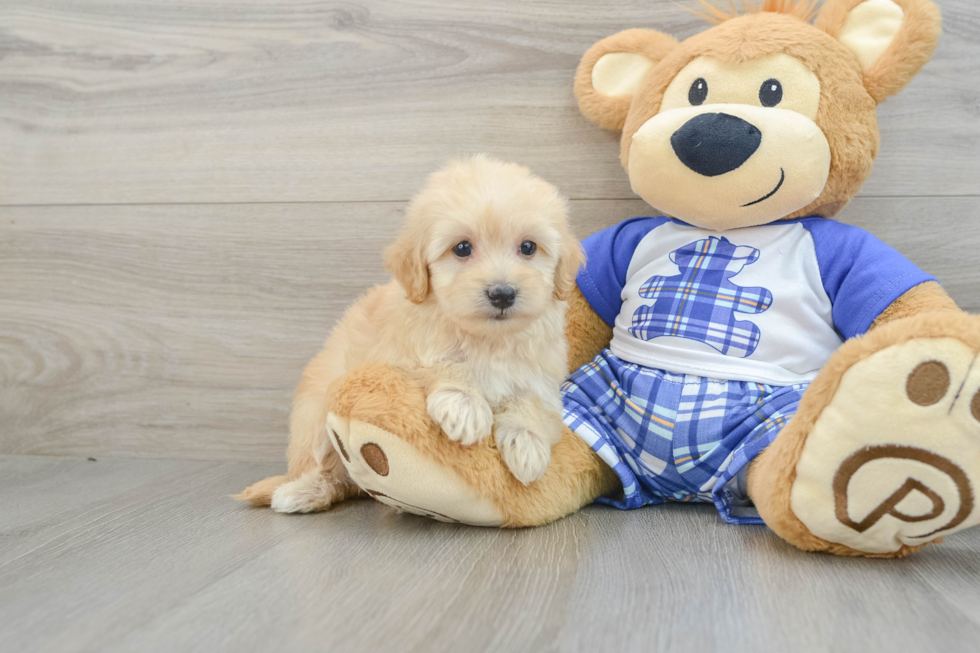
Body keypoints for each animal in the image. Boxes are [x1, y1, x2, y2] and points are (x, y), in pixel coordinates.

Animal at [238, 155, 584, 512]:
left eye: (528, 247)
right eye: (462, 248)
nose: (502, 293)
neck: (486, 338)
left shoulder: (541, 373)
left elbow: (532, 402)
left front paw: (527, 444)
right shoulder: (395, 357)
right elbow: (438, 364)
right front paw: (465, 404)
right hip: (316, 414)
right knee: (328, 468)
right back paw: (300, 491)